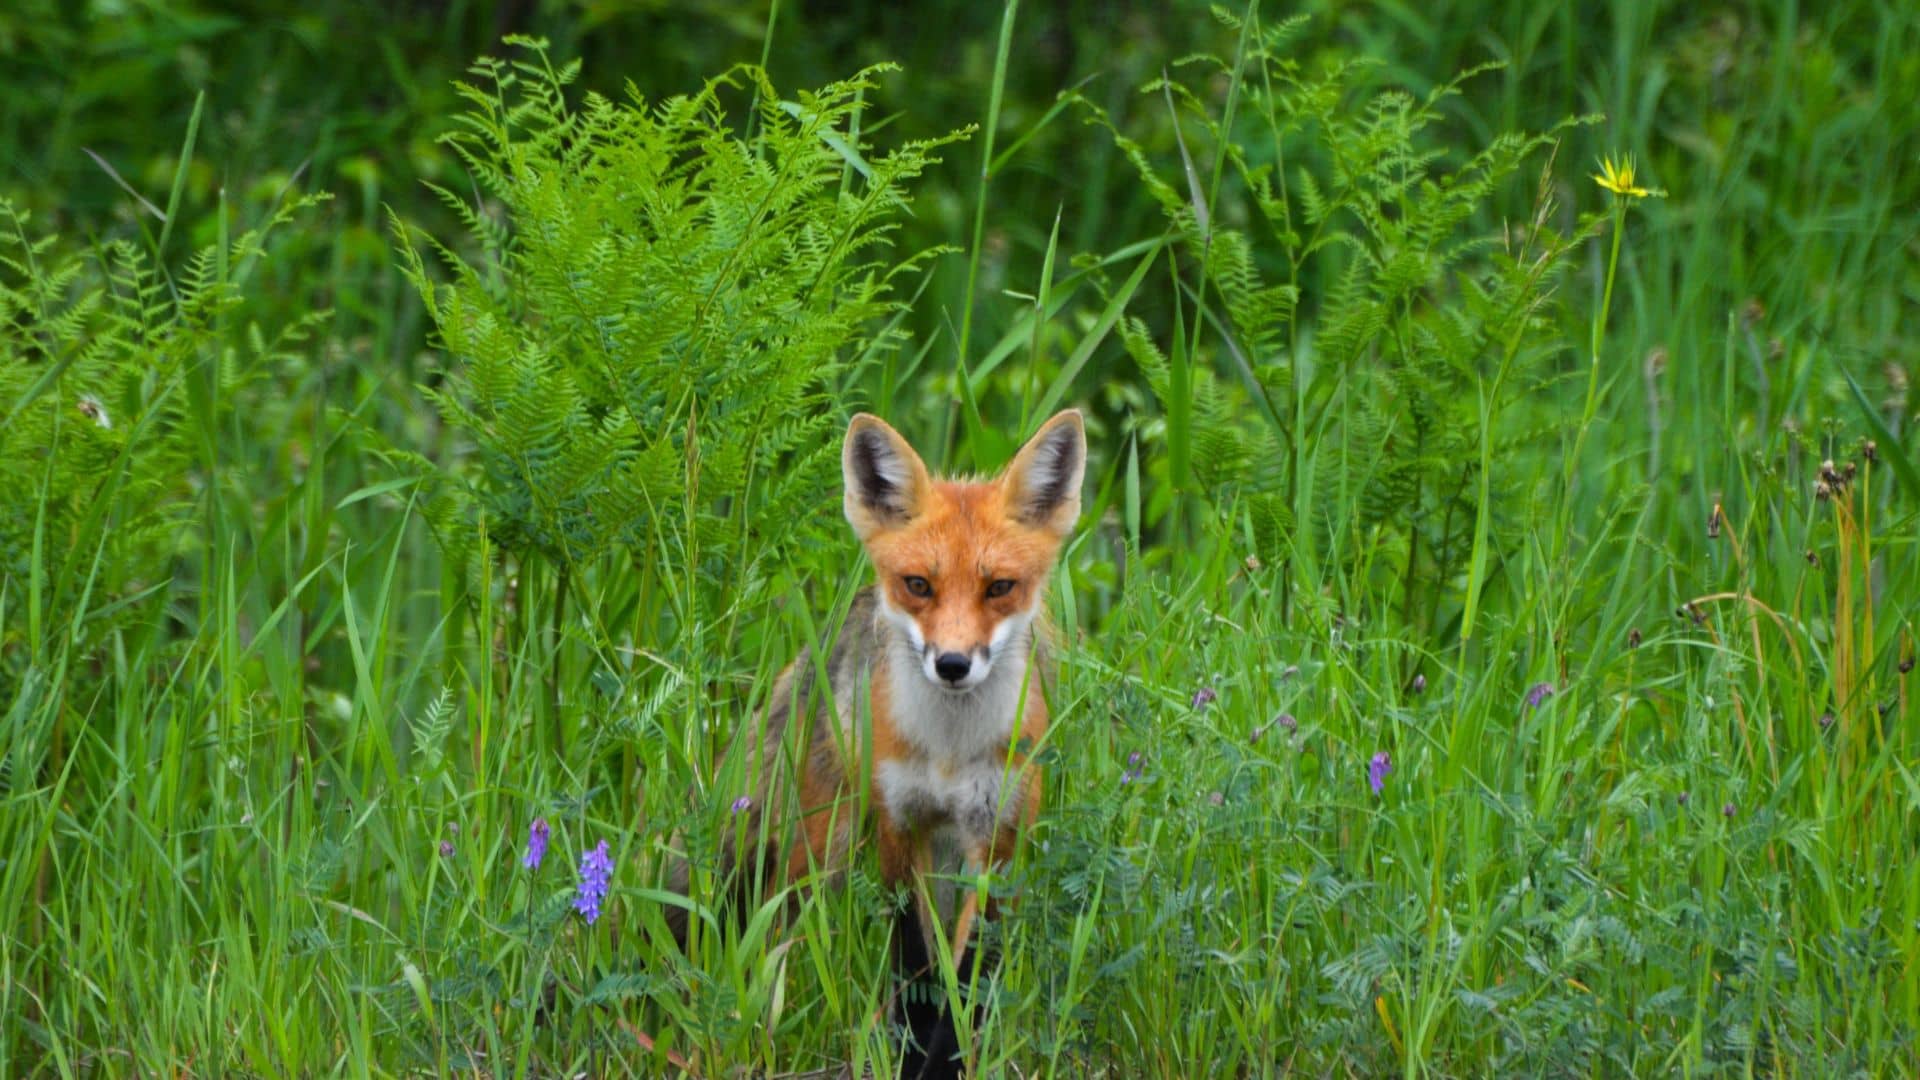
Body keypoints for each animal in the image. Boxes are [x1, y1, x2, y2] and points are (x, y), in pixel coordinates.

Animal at [675, 405, 1090, 1076]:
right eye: (919, 585)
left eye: (999, 587)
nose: (952, 664)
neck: (948, 753)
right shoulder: (899, 827)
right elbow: (917, 966)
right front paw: (912, 1057)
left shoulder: (997, 843)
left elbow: (968, 978)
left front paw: (948, 1061)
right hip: (818, 849)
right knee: (769, 935)